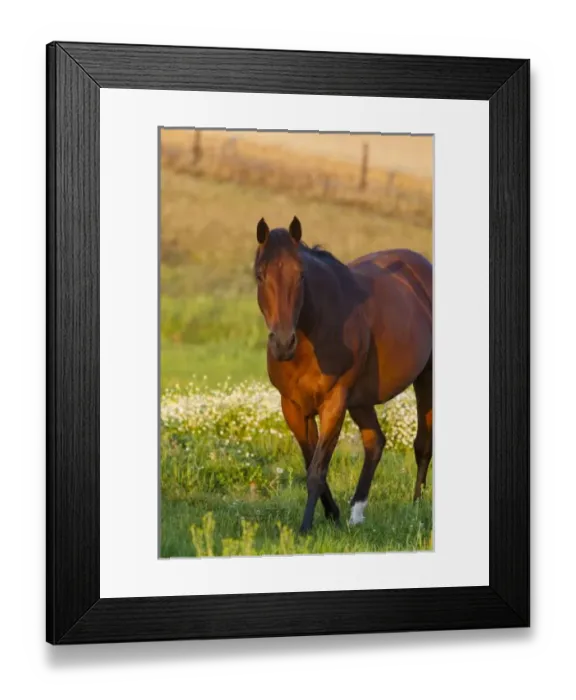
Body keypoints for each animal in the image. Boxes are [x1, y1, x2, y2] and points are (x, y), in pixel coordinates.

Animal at [254, 216, 433, 534]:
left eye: (301, 275)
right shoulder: (293, 407)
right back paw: (356, 513)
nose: (283, 344)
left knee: (422, 445)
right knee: (375, 442)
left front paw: (305, 528)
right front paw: (333, 514)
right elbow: (310, 461)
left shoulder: (334, 402)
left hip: (425, 377)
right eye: (260, 275)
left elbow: (317, 469)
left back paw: (415, 508)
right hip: (360, 400)